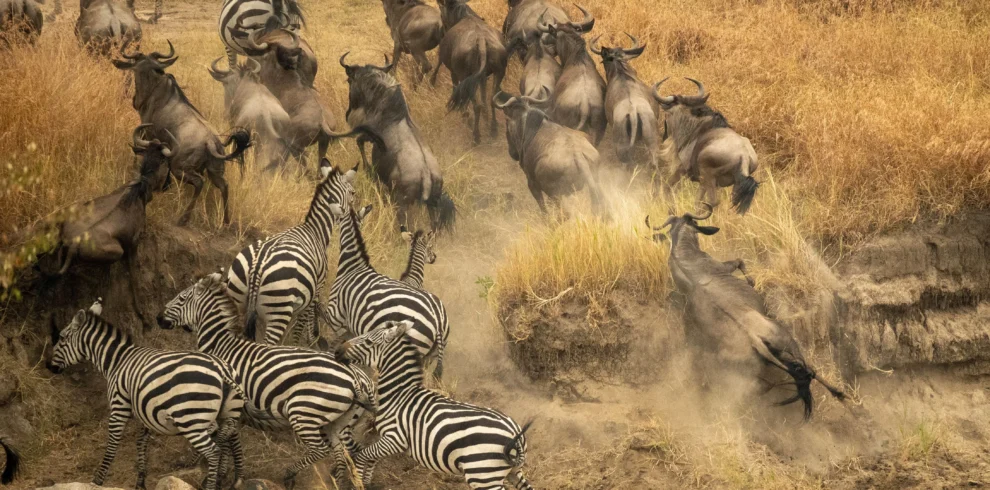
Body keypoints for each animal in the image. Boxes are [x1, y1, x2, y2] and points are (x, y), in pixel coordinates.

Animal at [47, 299, 245, 490]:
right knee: (227, 438)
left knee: (213, 449)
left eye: (62, 338)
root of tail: (221, 370)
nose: (48, 366)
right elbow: (141, 442)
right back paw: (224, 478)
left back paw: (210, 482)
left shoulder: (119, 406)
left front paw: (97, 481)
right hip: (227, 413)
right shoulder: (145, 408)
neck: (117, 361)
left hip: (191, 418)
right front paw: (140, 481)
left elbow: (112, 445)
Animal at [159, 271, 378, 490]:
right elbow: (230, 441)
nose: (158, 318)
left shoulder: (229, 405)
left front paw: (216, 473)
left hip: (304, 412)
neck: (221, 346)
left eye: (181, 298)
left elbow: (224, 440)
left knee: (321, 450)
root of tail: (357, 378)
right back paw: (336, 482)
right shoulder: (234, 411)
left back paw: (289, 474)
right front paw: (228, 473)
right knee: (341, 455)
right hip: (336, 423)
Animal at [225, 158, 356, 346]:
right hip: (279, 309)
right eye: (353, 193)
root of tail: (258, 266)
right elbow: (301, 326)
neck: (315, 230)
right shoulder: (315, 291)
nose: (354, 216)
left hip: (236, 298)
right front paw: (304, 344)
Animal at [323, 203, 450, 380]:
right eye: (430, 246)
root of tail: (438, 320)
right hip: (430, 355)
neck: (353, 267)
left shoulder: (336, 319)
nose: (434, 257)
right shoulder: (347, 328)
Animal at [335, 321, 536, 490]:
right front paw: (367, 482)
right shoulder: (387, 441)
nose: (337, 351)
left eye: (368, 341)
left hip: (482, 474)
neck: (399, 394)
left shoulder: (395, 439)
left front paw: (358, 483)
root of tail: (515, 434)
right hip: (511, 472)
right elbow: (371, 460)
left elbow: (363, 455)